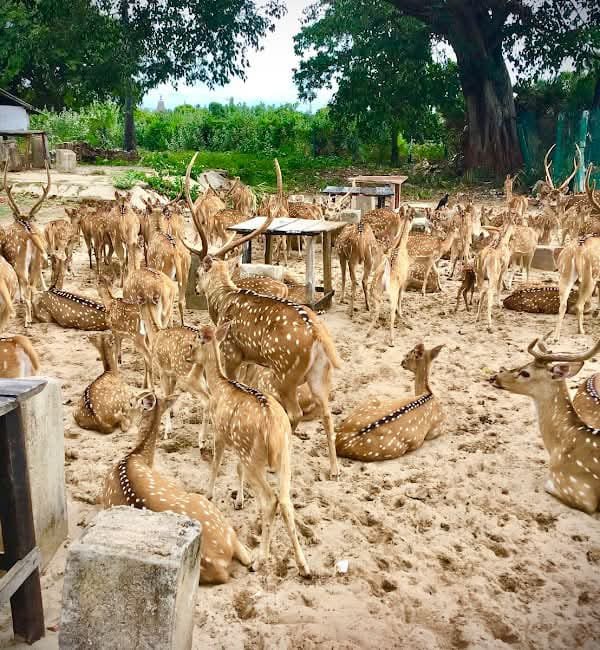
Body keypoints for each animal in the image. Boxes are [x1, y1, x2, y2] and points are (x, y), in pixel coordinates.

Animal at [1, 161, 50, 326]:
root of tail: (30, 235)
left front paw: (20, 299)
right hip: (37, 261)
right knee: (33, 285)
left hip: (20, 261)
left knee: (28, 286)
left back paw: (27, 320)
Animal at [101, 392, 253, 584]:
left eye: (130, 402)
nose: (121, 413)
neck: (136, 457)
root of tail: (219, 566)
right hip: (205, 504)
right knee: (246, 555)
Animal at [183, 153, 342, 479]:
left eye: (202, 269)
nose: (196, 286)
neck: (223, 302)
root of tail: (319, 336)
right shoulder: (246, 358)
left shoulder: (230, 352)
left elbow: (220, 391)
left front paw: (205, 443)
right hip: (319, 375)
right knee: (327, 412)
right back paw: (334, 469)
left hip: (286, 372)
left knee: (294, 413)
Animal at [184, 322, 310, 576]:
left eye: (193, 343)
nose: (186, 355)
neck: (219, 387)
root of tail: (273, 431)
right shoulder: (238, 446)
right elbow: (237, 469)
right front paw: (239, 500)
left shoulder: (221, 433)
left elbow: (216, 464)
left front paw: (208, 494)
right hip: (284, 456)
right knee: (285, 500)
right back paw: (304, 566)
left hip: (255, 457)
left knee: (270, 500)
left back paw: (259, 561)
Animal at [366, 209, 413, 346]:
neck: (400, 245)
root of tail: (384, 277)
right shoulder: (404, 281)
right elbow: (401, 298)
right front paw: (401, 313)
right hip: (391, 293)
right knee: (391, 312)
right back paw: (391, 339)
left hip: (375, 291)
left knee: (376, 311)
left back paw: (368, 332)